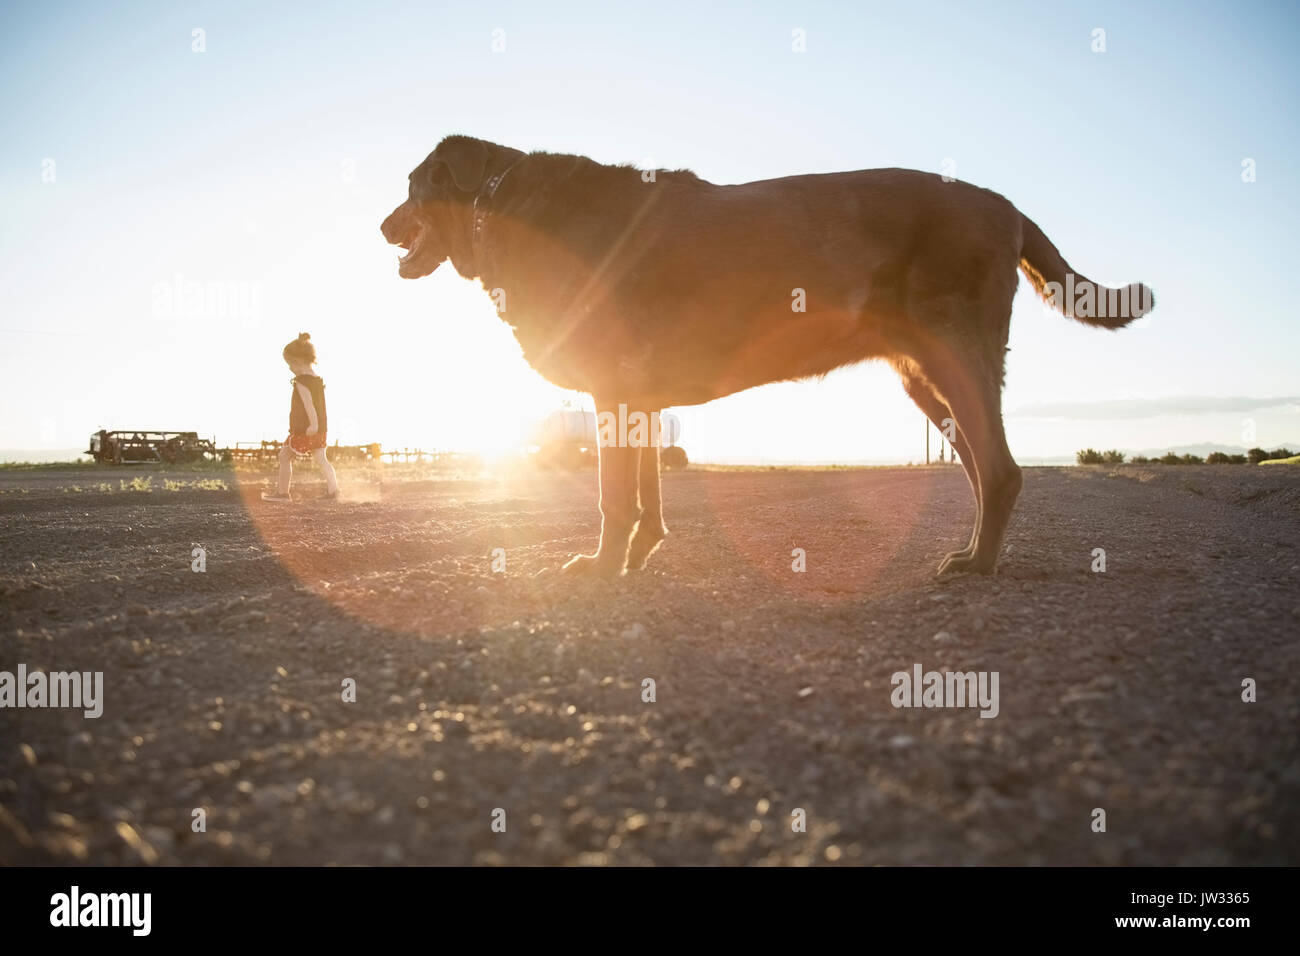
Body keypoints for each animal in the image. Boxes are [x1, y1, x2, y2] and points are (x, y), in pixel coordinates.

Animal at [379, 136, 1154, 574]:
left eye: (412, 186)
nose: (382, 224)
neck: (500, 207)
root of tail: (1009, 205)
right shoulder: (639, 397)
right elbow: (648, 495)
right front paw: (638, 556)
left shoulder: (610, 389)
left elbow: (612, 498)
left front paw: (600, 570)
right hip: (927, 378)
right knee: (983, 467)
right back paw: (972, 553)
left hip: (954, 352)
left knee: (1000, 470)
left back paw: (981, 567)